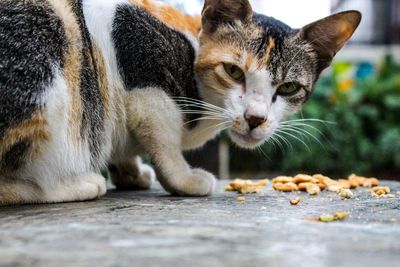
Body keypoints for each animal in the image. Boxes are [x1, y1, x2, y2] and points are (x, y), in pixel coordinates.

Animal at [0, 0, 360, 206]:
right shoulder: (134, 46)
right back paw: (78, 184)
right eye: (233, 70)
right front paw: (184, 179)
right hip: (49, 40)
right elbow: (163, 139)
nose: (255, 117)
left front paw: (131, 171)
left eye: (287, 87)